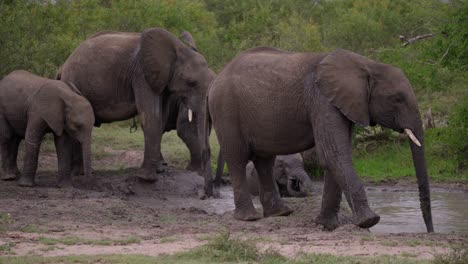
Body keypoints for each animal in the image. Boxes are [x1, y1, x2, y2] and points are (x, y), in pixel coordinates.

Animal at [59, 27, 218, 195]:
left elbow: (161, 118)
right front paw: (146, 179)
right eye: (191, 83)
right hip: (72, 84)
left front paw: (160, 170)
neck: (178, 48)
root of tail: (63, 66)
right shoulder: (141, 75)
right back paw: (79, 173)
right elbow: (152, 117)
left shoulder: (163, 82)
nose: (207, 193)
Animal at [209, 48, 436, 233]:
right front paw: (369, 221)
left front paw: (327, 225)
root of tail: (218, 75)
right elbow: (334, 154)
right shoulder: (321, 99)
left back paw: (280, 213)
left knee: (264, 161)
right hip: (225, 108)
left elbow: (336, 155)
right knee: (237, 158)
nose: (430, 232)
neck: (367, 64)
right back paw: (249, 218)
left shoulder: (343, 104)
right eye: (397, 99)